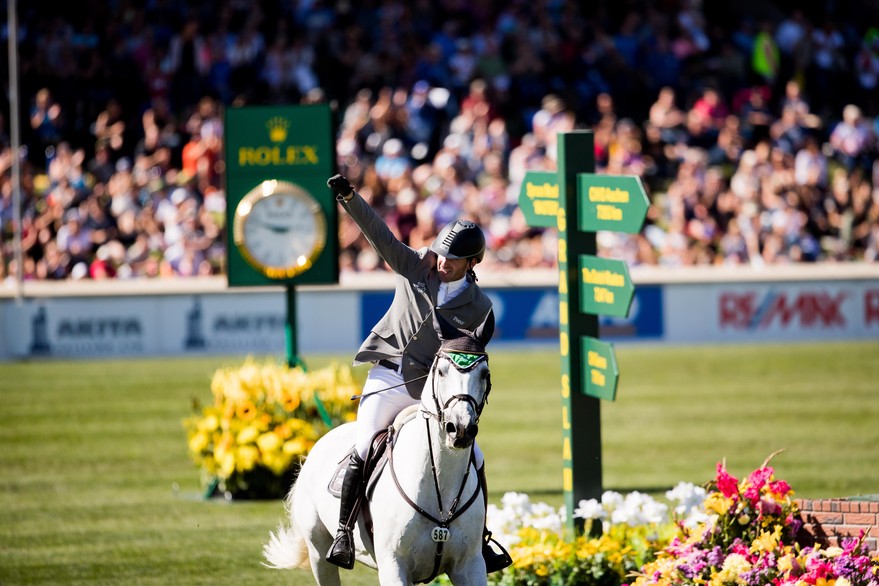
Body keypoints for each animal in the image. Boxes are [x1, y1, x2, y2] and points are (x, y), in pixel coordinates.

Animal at [262, 336, 496, 580]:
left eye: (485, 374)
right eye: (441, 372)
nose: (460, 429)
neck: (440, 484)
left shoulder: (470, 565)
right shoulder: (393, 564)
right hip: (318, 551)